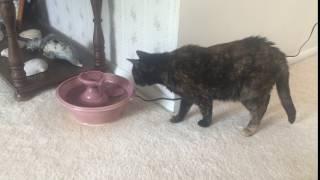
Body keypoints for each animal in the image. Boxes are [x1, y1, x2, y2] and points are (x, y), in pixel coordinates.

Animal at [129, 36, 296, 136]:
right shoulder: (188, 96)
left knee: (260, 107)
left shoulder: (202, 94)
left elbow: (206, 110)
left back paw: (250, 128)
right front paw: (178, 118)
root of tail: (277, 52)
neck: (167, 66)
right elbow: (183, 108)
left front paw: (205, 124)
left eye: (135, 73)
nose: (135, 82)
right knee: (266, 100)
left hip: (248, 92)